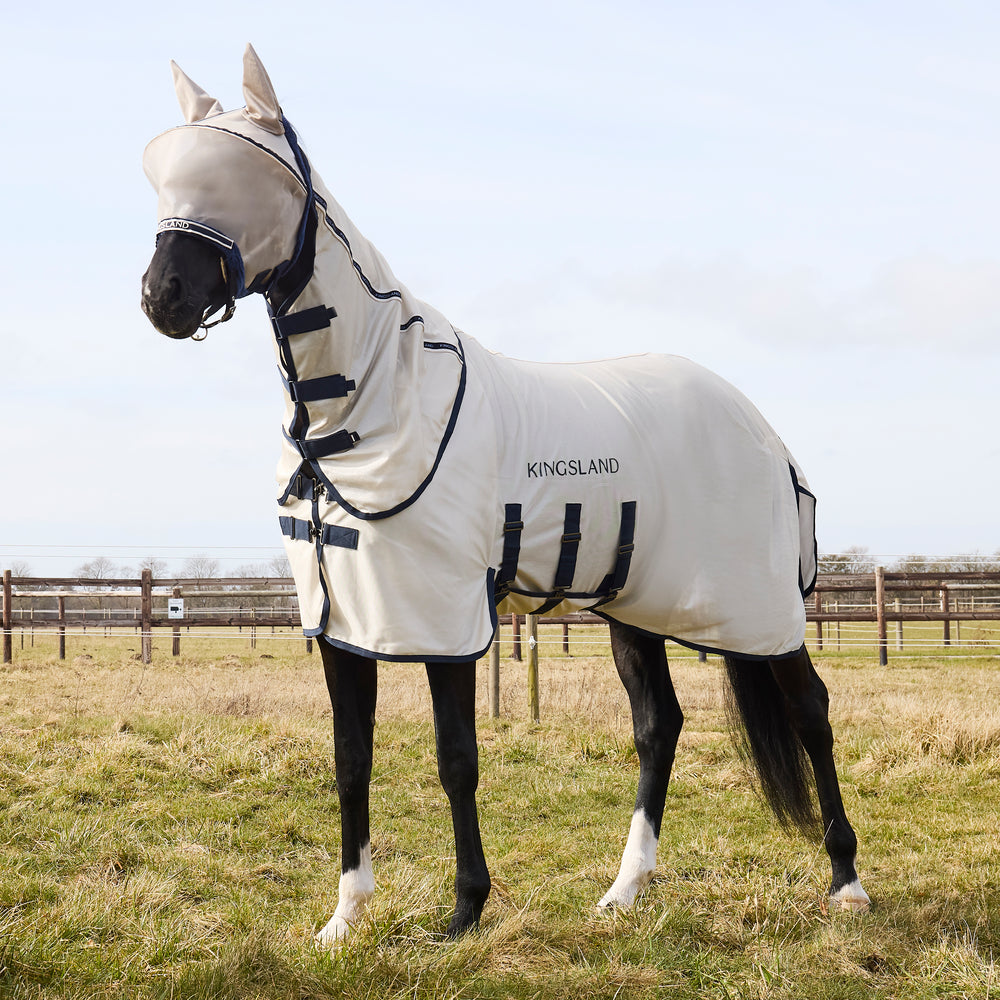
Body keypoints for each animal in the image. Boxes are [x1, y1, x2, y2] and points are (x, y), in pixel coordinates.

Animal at [140, 45, 870, 947]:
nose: (162, 296)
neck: (373, 399)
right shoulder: (346, 619)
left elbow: (457, 758)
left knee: (810, 709)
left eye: (246, 177)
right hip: (636, 604)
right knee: (658, 727)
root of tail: (763, 432)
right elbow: (351, 758)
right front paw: (345, 917)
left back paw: (846, 882)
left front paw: (463, 911)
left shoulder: (444, 619)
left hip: (756, 608)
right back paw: (625, 890)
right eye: (163, 179)